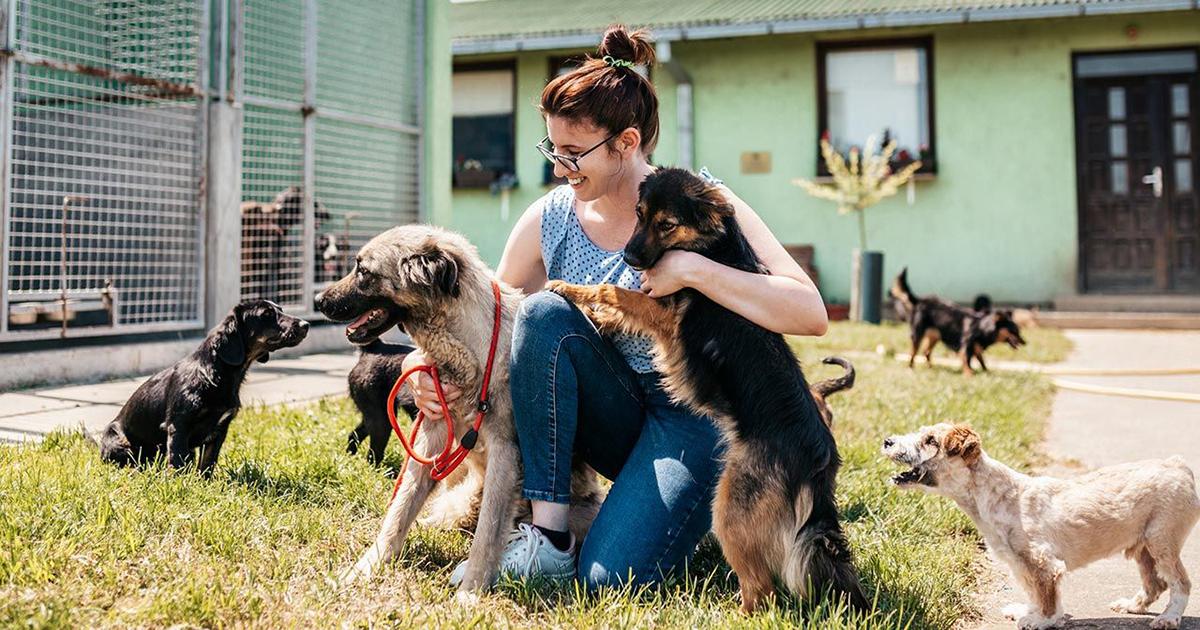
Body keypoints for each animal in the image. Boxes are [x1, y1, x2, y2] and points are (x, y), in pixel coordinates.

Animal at [96, 300, 309, 470]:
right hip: (117, 439)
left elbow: (207, 463)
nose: (306, 325)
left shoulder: (220, 430)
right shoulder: (178, 426)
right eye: (266, 315)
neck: (217, 375)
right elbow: (177, 463)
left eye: (280, 310)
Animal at [316, 224, 604, 595]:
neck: (467, 352)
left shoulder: (504, 455)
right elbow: (399, 510)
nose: (318, 301)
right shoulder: (431, 436)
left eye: (364, 271)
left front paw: (470, 591)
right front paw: (366, 567)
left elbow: (487, 533)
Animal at [549, 165, 868, 609]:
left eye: (667, 224)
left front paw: (570, 289)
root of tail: (818, 458)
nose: (628, 257)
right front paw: (597, 316)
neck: (711, 246)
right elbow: (619, 304)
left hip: (730, 509)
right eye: (639, 215)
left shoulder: (665, 312)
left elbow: (614, 290)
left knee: (763, 590)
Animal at [883, 422, 1200, 628]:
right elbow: (1033, 592)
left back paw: (1169, 618)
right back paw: (1132, 605)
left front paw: (1042, 620)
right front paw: (1030, 611)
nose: (887, 441)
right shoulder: (1021, 563)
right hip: (1144, 547)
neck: (997, 495)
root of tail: (1178, 465)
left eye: (930, 440)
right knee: (1156, 583)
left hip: (1162, 541)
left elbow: (1047, 596)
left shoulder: (1043, 563)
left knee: (1180, 582)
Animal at [888, 265, 1027, 374]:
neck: (982, 328)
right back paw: (910, 368)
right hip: (917, 334)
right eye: (1014, 331)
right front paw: (970, 375)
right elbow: (967, 362)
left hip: (935, 336)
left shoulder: (976, 348)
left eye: (1018, 331)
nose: (1025, 342)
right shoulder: (965, 348)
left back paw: (931, 367)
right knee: (913, 353)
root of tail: (919, 301)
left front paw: (986, 372)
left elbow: (982, 361)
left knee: (926, 352)